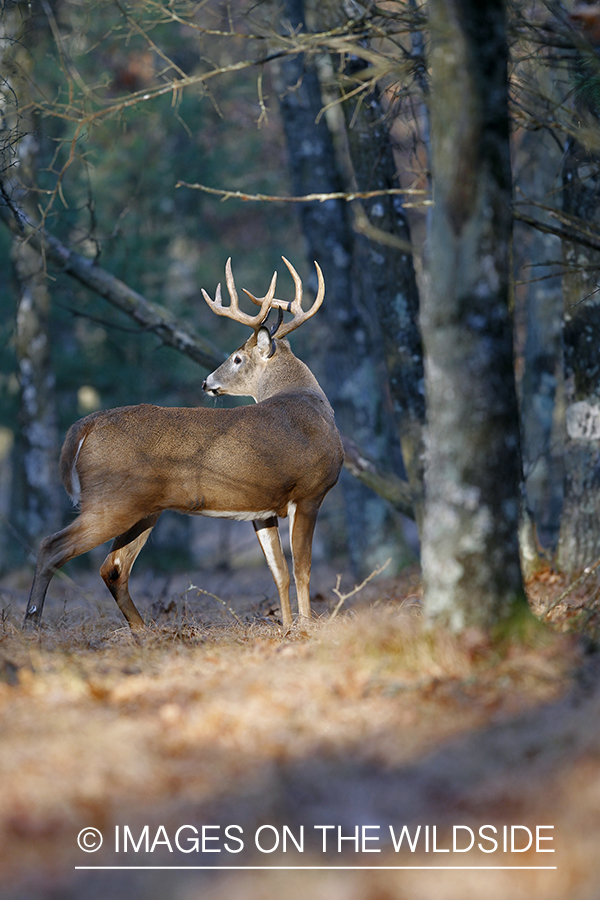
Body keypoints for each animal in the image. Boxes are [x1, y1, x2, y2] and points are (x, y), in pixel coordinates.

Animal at [23, 256, 342, 628]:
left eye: (236, 358)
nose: (207, 382)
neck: (308, 400)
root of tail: (86, 424)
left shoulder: (263, 508)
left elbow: (280, 572)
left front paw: (290, 627)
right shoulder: (309, 493)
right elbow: (303, 569)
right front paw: (307, 627)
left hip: (144, 509)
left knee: (113, 568)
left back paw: (143, 631)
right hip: (111, 501)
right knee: (51, 547)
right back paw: (31, 624)